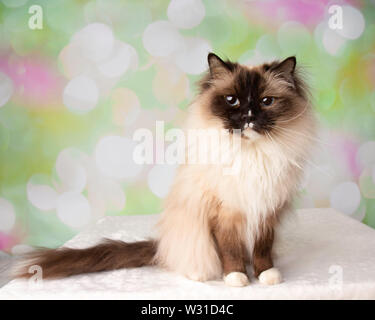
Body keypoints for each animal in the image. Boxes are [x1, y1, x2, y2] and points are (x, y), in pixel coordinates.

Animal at [13, 53, 316, 288]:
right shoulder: (225, 213)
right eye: (232, 100)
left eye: (266, 102)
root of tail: (162, 245)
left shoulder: (267, 211)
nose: (249, 118)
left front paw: (267, 275)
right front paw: (237, 278)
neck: (251, 154)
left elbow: (263, 251)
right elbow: (231, 251)